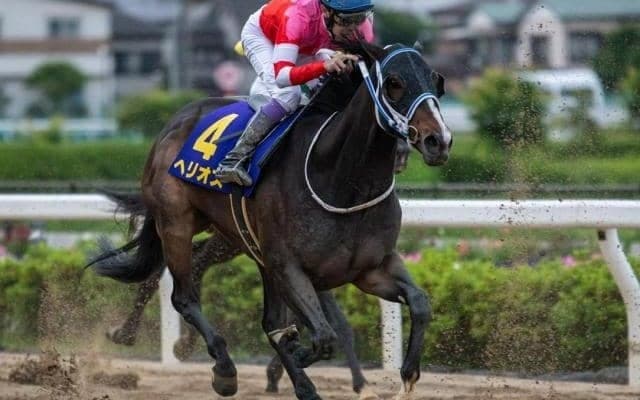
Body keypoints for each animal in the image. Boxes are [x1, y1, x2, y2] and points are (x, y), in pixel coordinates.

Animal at [88, 41, 451, 400]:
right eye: (394, 83)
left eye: (436, 80)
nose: (439, 141)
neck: (342, 181)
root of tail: (174, 122)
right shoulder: (290, 267)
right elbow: (322, 335)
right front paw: (305, 358)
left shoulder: (370, 269)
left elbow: (420, 303)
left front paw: (407, 375)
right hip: (176, 222)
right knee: (182, 295)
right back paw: (218, 367)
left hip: (230, 236)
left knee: (211, 279)